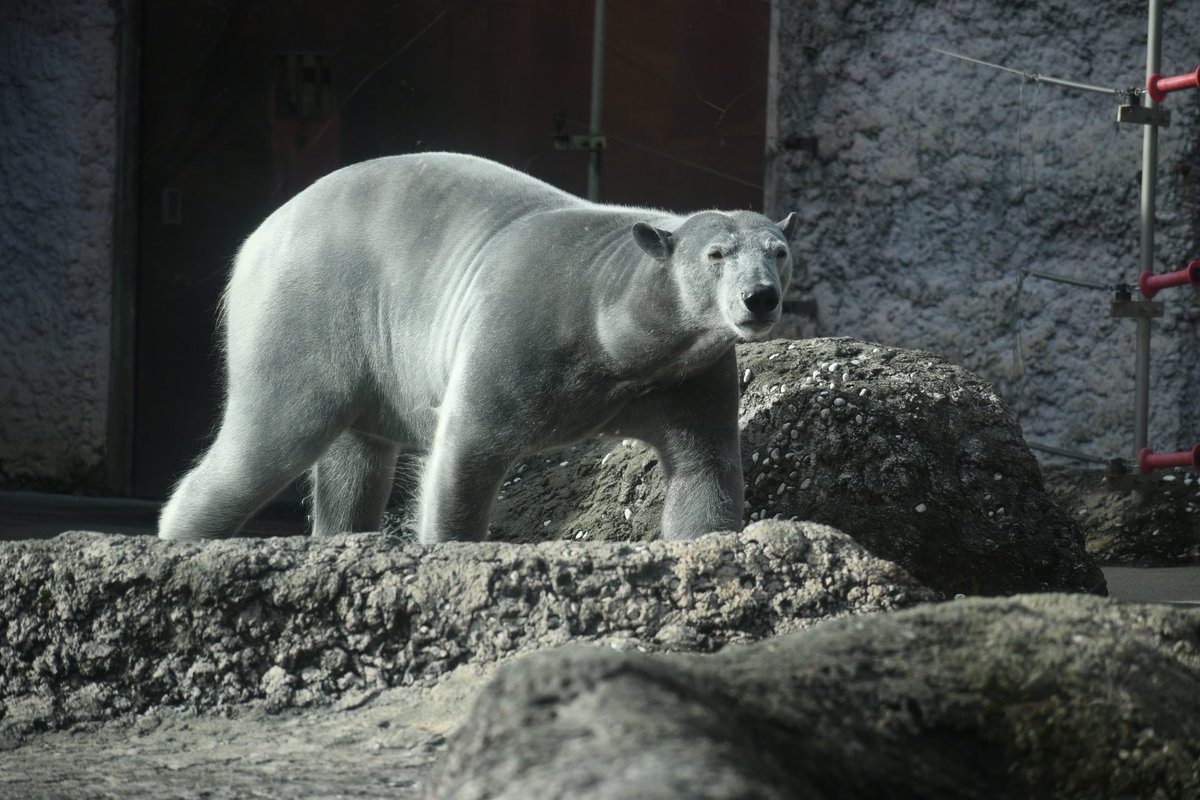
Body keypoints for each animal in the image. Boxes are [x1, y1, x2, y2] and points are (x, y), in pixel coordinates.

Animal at [159, 151, 796, 544]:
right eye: (717, 254)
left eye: (779, 250)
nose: (759, 298)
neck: (605, 308)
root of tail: (258, 237)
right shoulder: (517, 329)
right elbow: (468, 446)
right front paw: (449, 540)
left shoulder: (685, 375)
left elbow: (705, 467)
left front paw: (705, 537)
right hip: (306, 310)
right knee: (274, 433)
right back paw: (183, 532)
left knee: (355, 458)